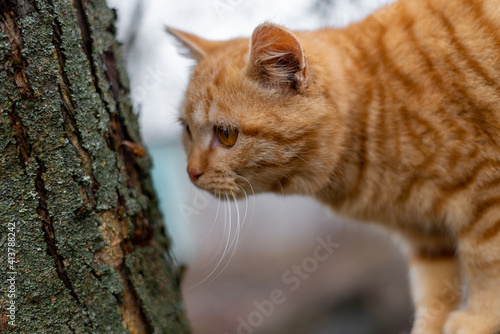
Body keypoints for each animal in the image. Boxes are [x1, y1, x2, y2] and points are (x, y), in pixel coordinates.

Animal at [168, 0, 500, 332]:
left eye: (226, 134)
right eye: (187, 129)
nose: (191, 173)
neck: (378, 107)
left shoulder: (486, 192)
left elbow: (485, 260)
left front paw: (479, 318)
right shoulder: (425, 237)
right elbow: (434, 294)